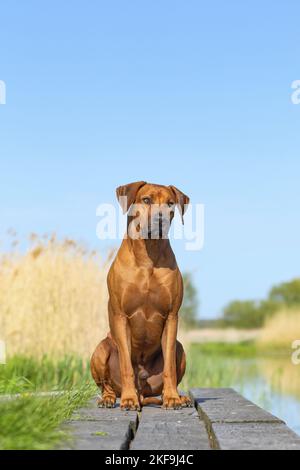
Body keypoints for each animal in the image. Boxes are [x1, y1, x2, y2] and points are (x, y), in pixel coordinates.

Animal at [90, 182, 192, 410]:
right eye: (146, 200)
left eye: (170, 203)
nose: (161, 220)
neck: (148, 256)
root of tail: (143, 392)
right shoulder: (120, 316)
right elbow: (127, 365)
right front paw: (128, 399)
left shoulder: (171, 316)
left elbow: (169, 368)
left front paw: (172, 398)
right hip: (101, 349)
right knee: (106, 385)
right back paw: (110, 398)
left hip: (179, 349)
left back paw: (180, 397)